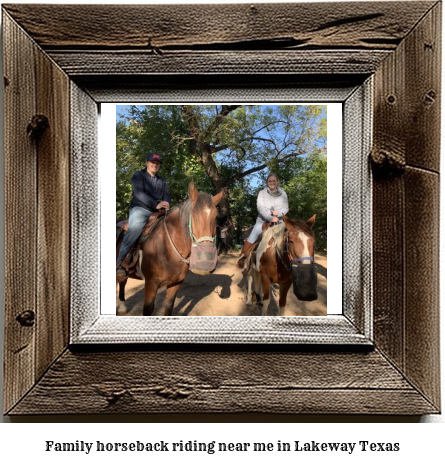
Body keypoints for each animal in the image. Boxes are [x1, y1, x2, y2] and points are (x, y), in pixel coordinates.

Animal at [117, 181, 222, 316]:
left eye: (216, 217)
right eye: (193, 215)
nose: (205, 261)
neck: (166, 247)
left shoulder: (176, 283)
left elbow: (168, 307)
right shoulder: (151, 283)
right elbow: (148, 309)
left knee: (122, 282)